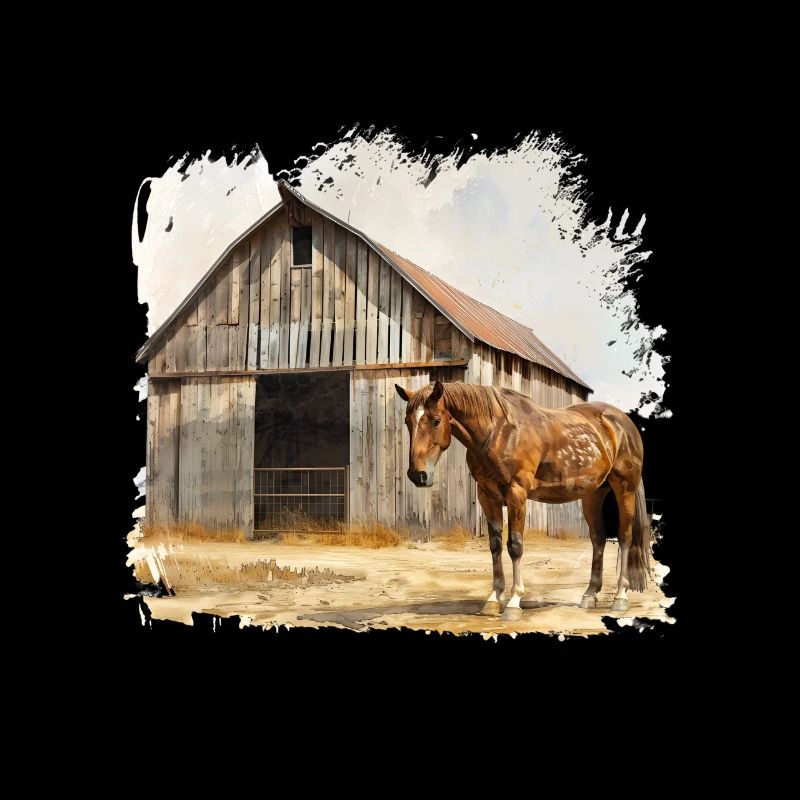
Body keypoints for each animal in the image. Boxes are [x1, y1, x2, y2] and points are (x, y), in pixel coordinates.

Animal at [395, 380, 651, 620]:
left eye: (436, 420)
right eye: (408, 422)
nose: (417, 475)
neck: (498, 432)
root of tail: (624, 424)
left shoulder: (517, 493)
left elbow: (515, 546)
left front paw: (514, 602)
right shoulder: (487, 496)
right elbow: (495, 546)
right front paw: (493, 599)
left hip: (624, 488)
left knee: (624, 537)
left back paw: (620, 597)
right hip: (593, 494)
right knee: (598, 539)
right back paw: (589, 596)